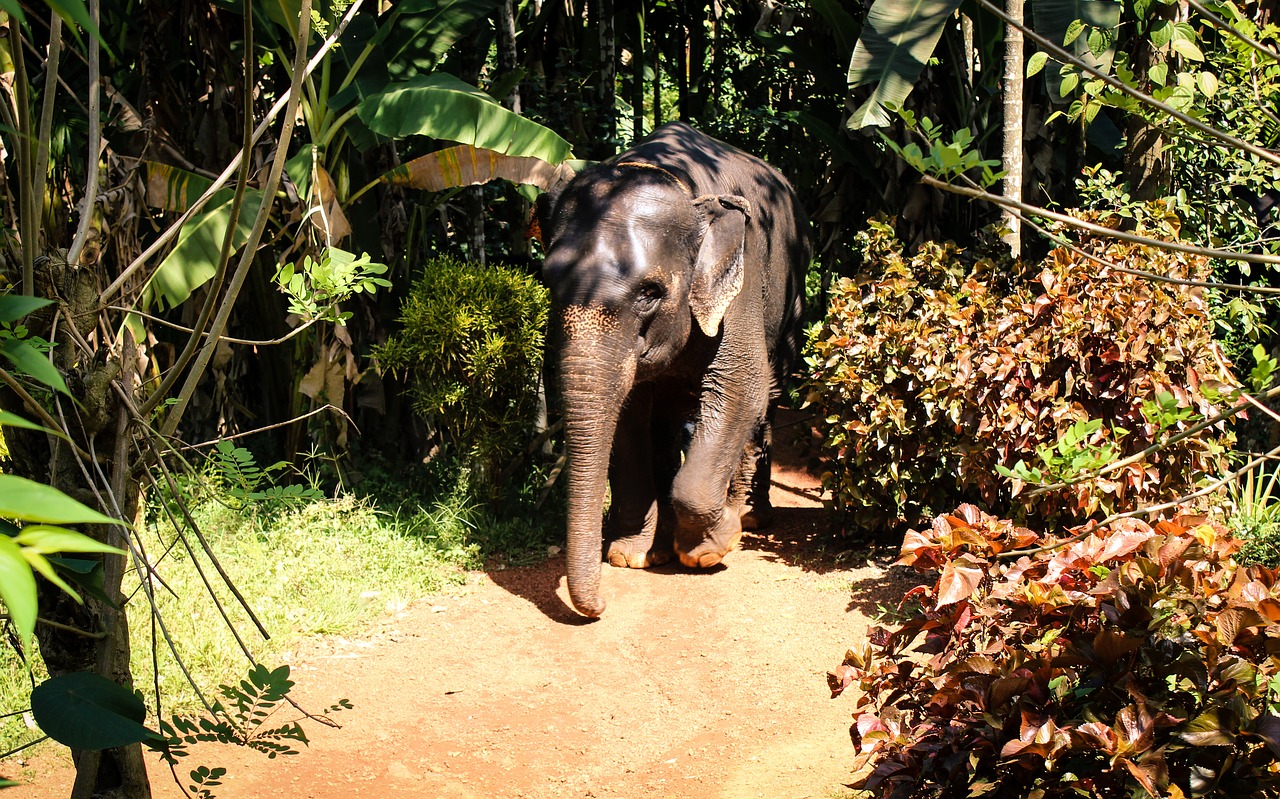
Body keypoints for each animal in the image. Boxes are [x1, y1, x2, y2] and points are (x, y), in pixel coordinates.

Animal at [540, 121, 808, 617]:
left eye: (650, 292)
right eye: (549, 282)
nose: (600, 607)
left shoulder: (740, 287)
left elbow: (742, 387)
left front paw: (710, 549)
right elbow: (628, 414)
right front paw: (630, 557)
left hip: (792, 297)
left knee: (770, 397)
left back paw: (750, 516)